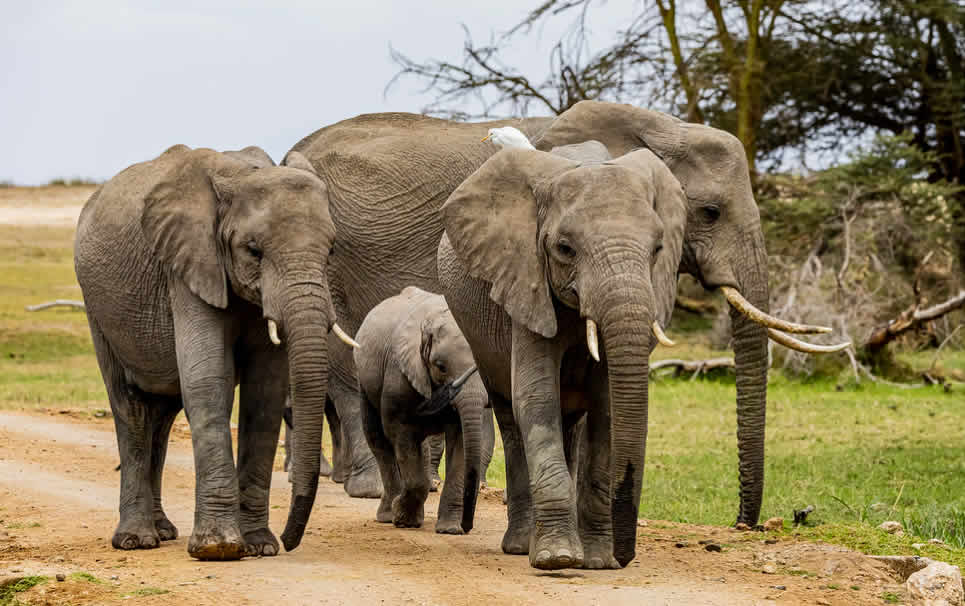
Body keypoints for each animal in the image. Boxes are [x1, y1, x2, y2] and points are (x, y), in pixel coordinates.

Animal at [74, 143, 353, 560]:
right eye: (253, 250)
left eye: (332, 250)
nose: (290, 541)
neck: (240, 176)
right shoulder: (188, 264)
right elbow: (207, 382)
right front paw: (218, 548)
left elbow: (265, 393)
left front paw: (260, 546)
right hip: (98, 309)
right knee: (131, 408)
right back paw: (136, 541)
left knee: (162, 414)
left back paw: (164, 531)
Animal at [353, 286, 489, 534]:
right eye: (441, 366)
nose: (467, 526)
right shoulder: (399, 374)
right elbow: (401, 435)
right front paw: (404, 520)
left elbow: (460, 442)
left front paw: (449, 530)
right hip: (365, 383)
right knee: (377, 439)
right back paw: (388, 515)